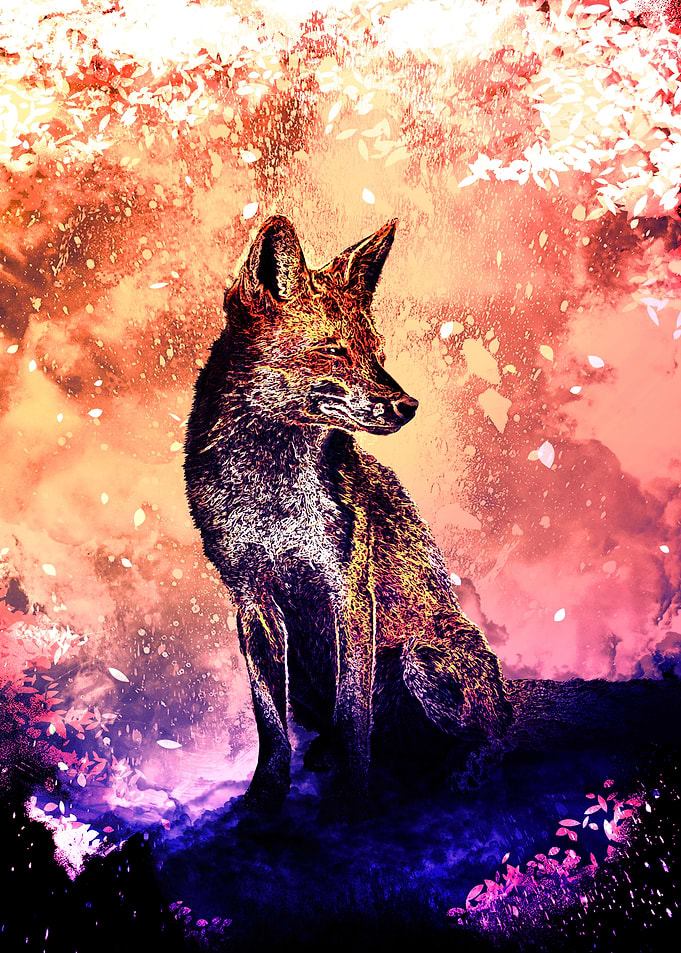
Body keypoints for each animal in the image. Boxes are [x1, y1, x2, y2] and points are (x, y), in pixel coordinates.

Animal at [184, 215, 681, 820]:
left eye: (376, 351)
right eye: (334, 352)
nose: (409, 406)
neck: (270, 492)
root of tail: (505, 691)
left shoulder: (348, 593)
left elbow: (353, 712)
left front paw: (350, 803)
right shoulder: (251, 602)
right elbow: (270, 725)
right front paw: (263, 799)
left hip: (422, 660)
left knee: (490, 737)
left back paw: (464, 767)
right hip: (309, 678)